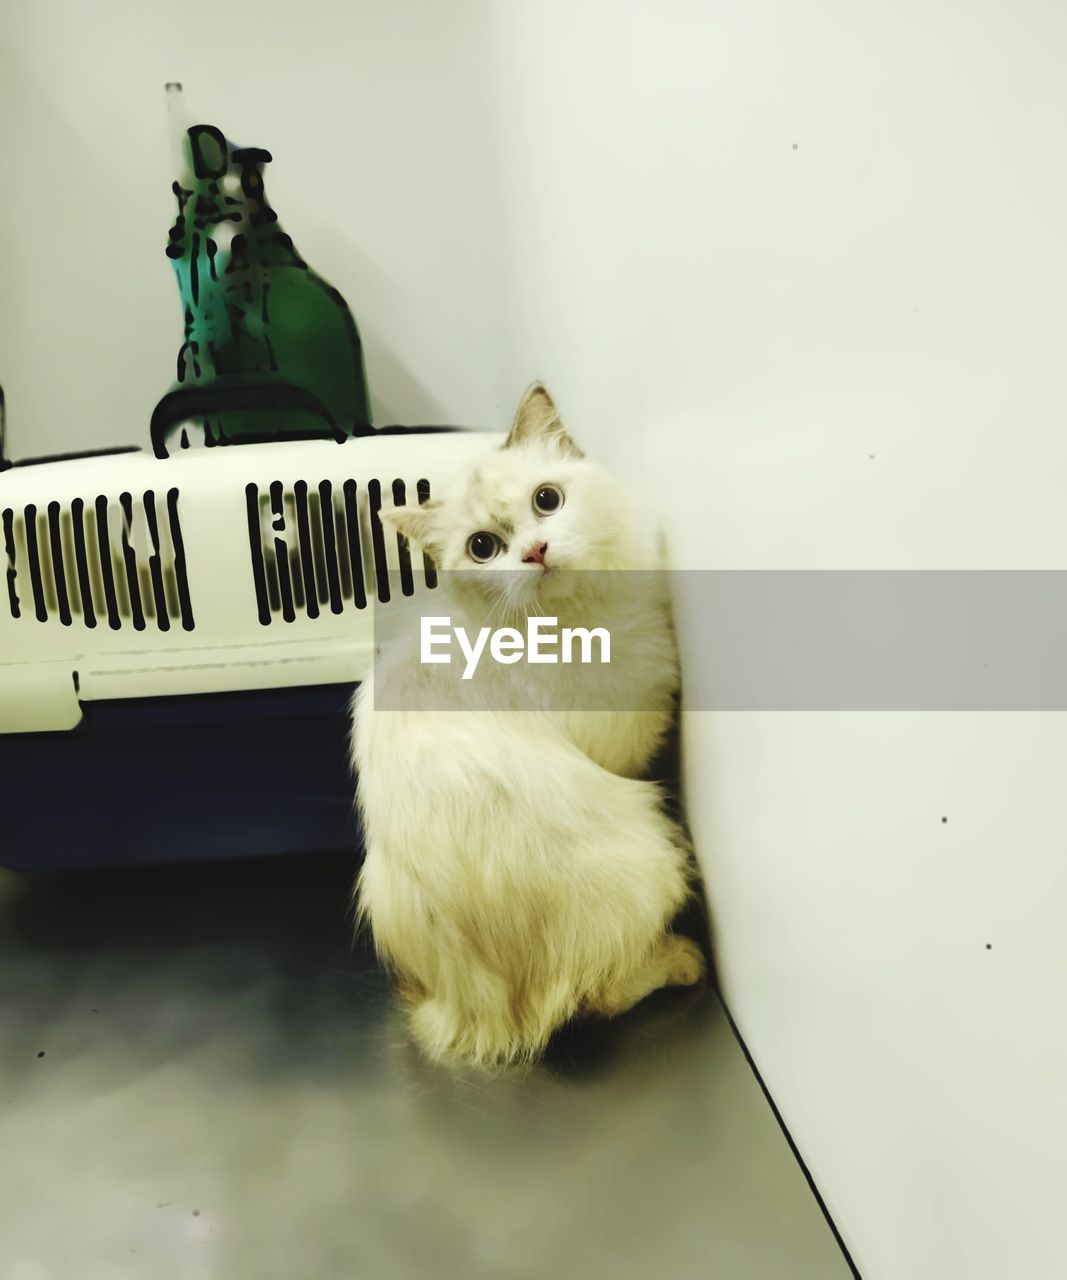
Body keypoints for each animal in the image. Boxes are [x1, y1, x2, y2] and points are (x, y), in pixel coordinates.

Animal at [347, 384, 701, 1064]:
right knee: (594, 996)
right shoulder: (625, 742)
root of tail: (481, 1015)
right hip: (653, 853)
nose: (535, 553)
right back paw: (683, 960)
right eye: (483, 548)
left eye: (547, 500)